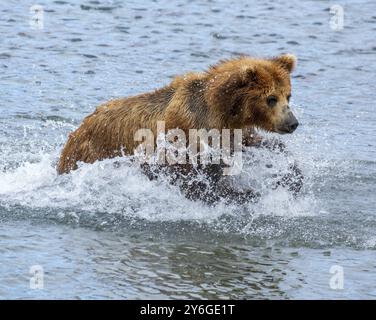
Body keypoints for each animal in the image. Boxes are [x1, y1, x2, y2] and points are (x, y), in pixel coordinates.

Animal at [57, 52, 302, 202]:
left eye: (288, 95)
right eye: (271, 98)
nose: (292, 123)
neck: (221, 111)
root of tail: (78, 130)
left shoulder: (231, 133)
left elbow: (258, 145)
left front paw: (292, 177)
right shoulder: (188, 135)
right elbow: (197, 181)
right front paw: (245, 193)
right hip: (91, 153)